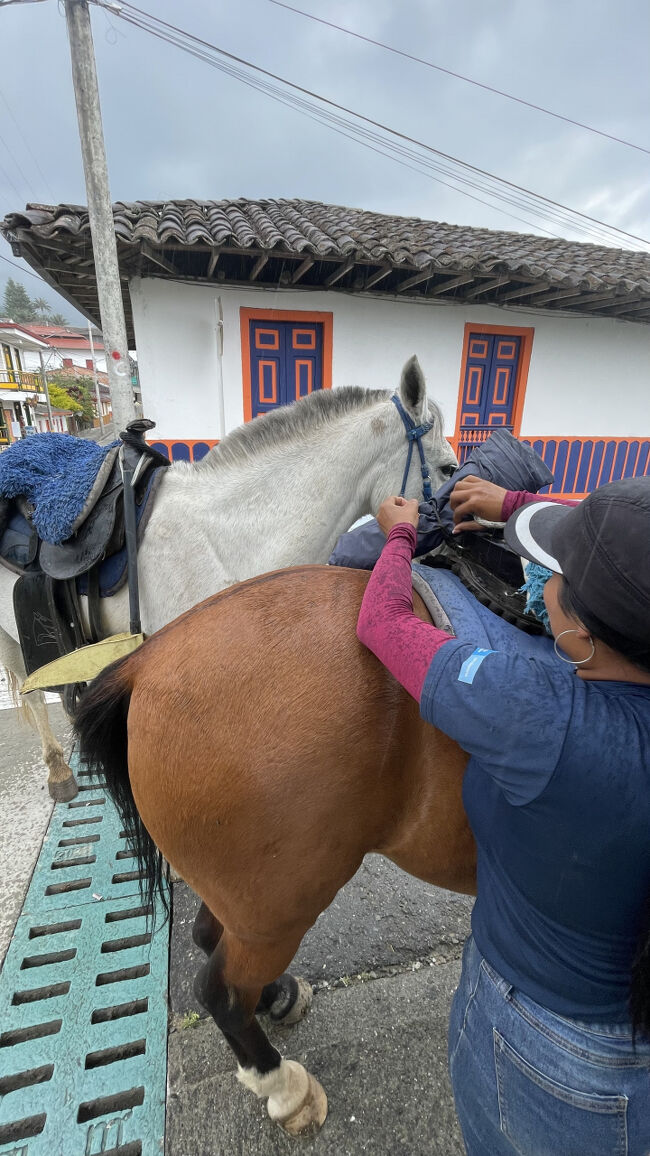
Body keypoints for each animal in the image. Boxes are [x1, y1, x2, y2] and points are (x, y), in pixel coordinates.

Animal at [74, 561, 475, 1136]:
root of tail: (143, 662)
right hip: (283, 904)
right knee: (217, 991)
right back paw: (285, 1088)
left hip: (255, 902)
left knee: (209, 936)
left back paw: (275, 996)